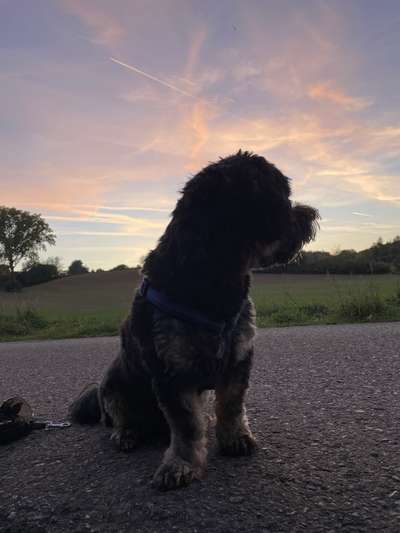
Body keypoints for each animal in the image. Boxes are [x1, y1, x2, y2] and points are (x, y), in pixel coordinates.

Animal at [69, 150, 318, 490]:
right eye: (281, 197)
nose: (312, 215)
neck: (213, 282)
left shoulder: (239, 357)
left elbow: (231, 406)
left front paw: (235, 438)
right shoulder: (170, 370)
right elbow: (186, 425)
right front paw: (182, 464)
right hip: (112, 386)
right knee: (119, 416)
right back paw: (125, 433)